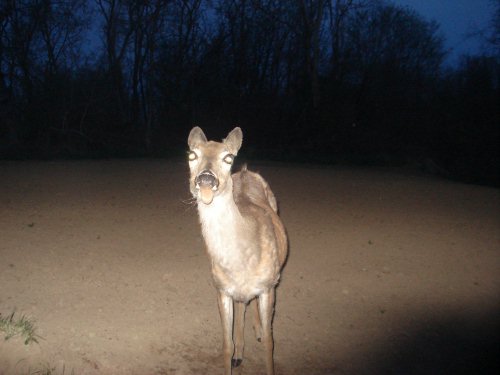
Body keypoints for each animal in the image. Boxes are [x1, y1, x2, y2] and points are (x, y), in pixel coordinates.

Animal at [188, 127, 290, 375]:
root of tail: (244, 172)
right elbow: (227, 344)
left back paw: (258, 332)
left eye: (228, 158)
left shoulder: (269, 285)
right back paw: (240, 355)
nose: (206, 179)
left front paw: (264, 338)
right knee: (243, 304)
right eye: (192, 155)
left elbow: (271, 342)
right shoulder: (221, 288)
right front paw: (233, 356)